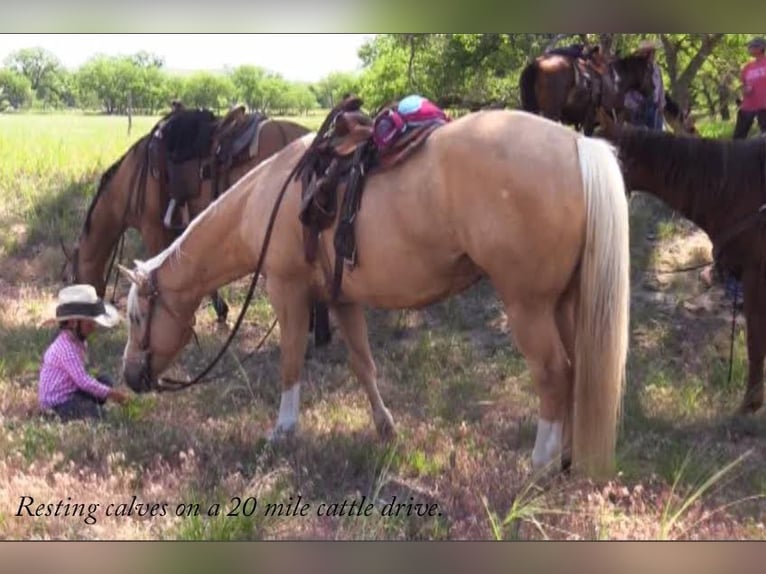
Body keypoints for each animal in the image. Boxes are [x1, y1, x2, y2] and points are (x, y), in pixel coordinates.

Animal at [115, 109, 632, 482]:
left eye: (138, 317)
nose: (130, 376)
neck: (269, 194)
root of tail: (577, 144)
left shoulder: (287, 289)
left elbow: (290, 362)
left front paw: (283, 430)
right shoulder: (342, 299)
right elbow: (363, 364)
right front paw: (386, 428)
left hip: (528, 306)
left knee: (553, 374)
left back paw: (540, 465)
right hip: (564, 302)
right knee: (577, 371)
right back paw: (566, 459)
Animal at [520, 48, 656, 136]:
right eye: (650, 71)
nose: (654, 88)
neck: (616, 81)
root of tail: (536, 64)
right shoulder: (611, 118)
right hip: (550, 112)